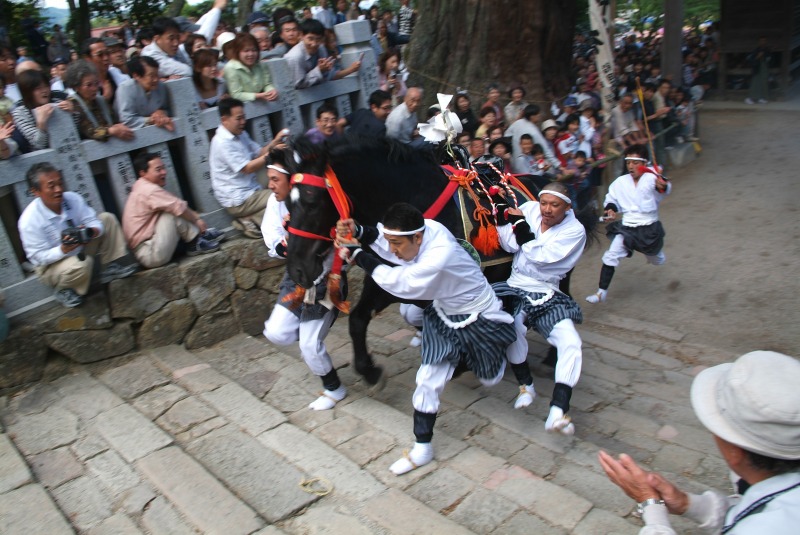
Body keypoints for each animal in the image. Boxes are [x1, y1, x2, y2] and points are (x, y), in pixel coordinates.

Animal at [282, 136, 536, 388]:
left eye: (312, 202)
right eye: (287, 204)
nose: (297, 270)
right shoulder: (386, 281)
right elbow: (357, 319)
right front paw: (369, 370)